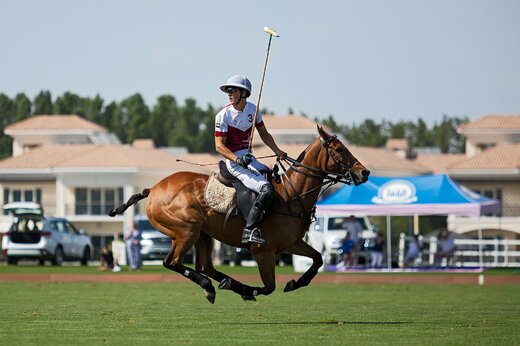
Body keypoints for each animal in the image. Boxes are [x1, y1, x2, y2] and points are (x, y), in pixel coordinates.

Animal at [108, 126, 370, 302]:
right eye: (338, 148)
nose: (364, 172)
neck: (291, 196)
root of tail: (152, 189)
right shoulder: (263, 251)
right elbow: (269, 287)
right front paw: (249, 290)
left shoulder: (291, 243)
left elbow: (318, 259)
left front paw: (296, 282)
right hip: (186, 229)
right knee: (171, 262)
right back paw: (213, 285)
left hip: (203, 234)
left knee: (204, 266)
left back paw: (219, 283)